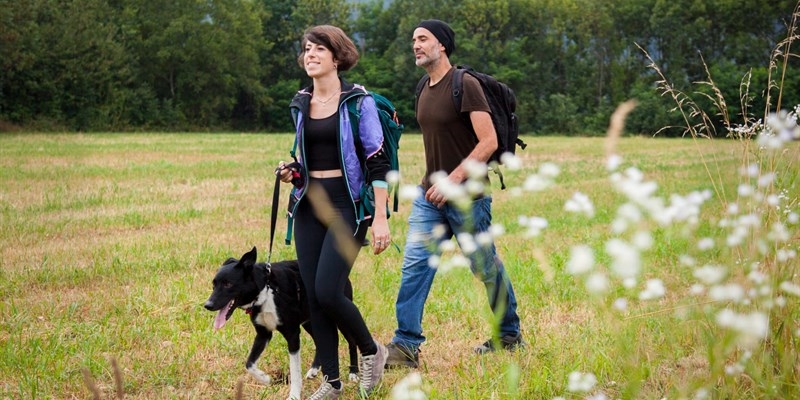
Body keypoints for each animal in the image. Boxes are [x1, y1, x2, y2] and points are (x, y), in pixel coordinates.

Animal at [205, 247, 358, 400]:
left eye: (228, 284)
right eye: (213, 285)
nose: (207, 305)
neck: (265, 291)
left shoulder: (292, 334)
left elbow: (295, 371)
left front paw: (294, 395)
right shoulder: (263, 334)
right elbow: (249, 364)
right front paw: (266, 379)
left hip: (339, 316)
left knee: (351, 341)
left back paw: (354, 373)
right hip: (309, 321)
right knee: (319, 340)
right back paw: (314, 369)